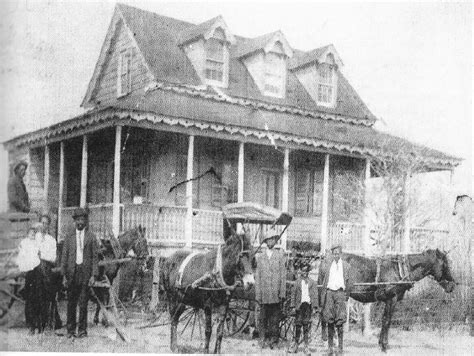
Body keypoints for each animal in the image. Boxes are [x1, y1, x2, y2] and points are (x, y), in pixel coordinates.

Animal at [318, 249, 456, 352]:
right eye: (444, 265)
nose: (452, 285)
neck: (401, 270)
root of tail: (326, 258)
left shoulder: (387, 301)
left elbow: (384, 320)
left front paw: (381, 344)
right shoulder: (391, 300)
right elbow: (387, 321)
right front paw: (384, 346)